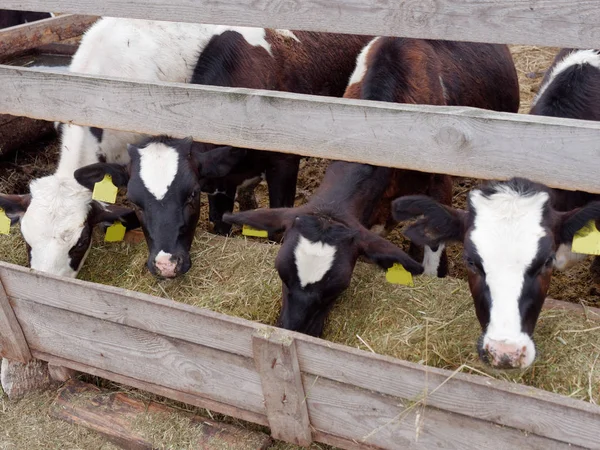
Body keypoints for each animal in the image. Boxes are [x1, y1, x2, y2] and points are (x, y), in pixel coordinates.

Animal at [70, 28, 370, 278]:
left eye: (191, 195)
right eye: (134, 203)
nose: (166, 265)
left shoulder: (284, 164)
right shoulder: (221, 181)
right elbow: (220, 224)